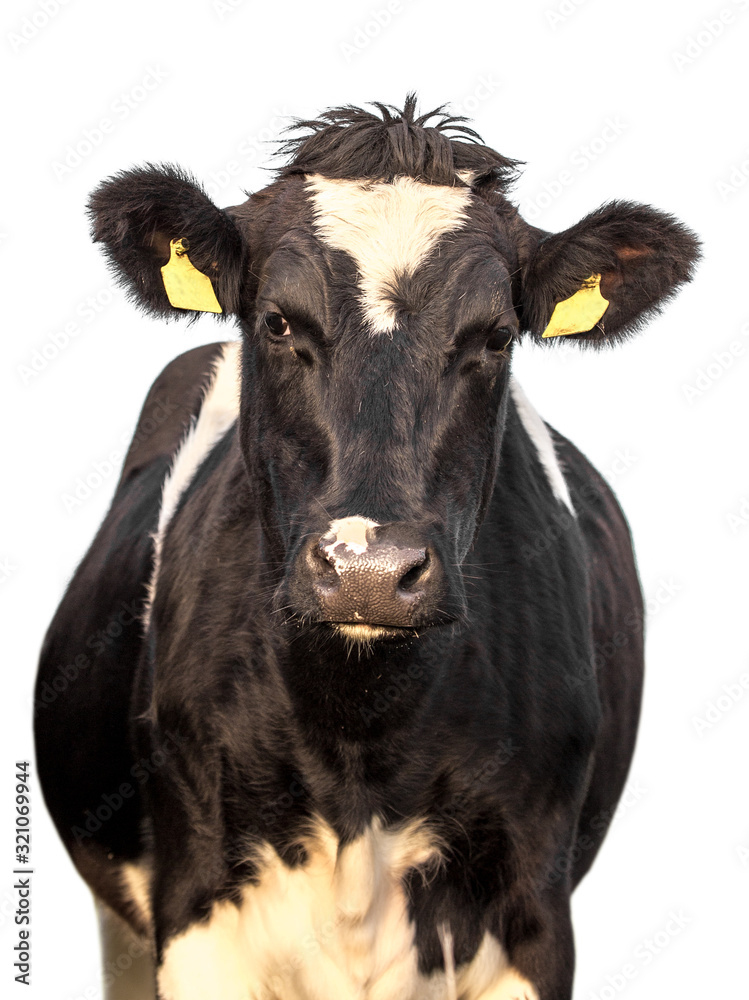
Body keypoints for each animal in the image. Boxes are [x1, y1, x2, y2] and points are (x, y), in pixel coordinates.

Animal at [35, 97, 700, 1000]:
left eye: (495, 337)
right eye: (277, 321)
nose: (369, 572)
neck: (358, 746)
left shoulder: (533, 921)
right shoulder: (197, 916)